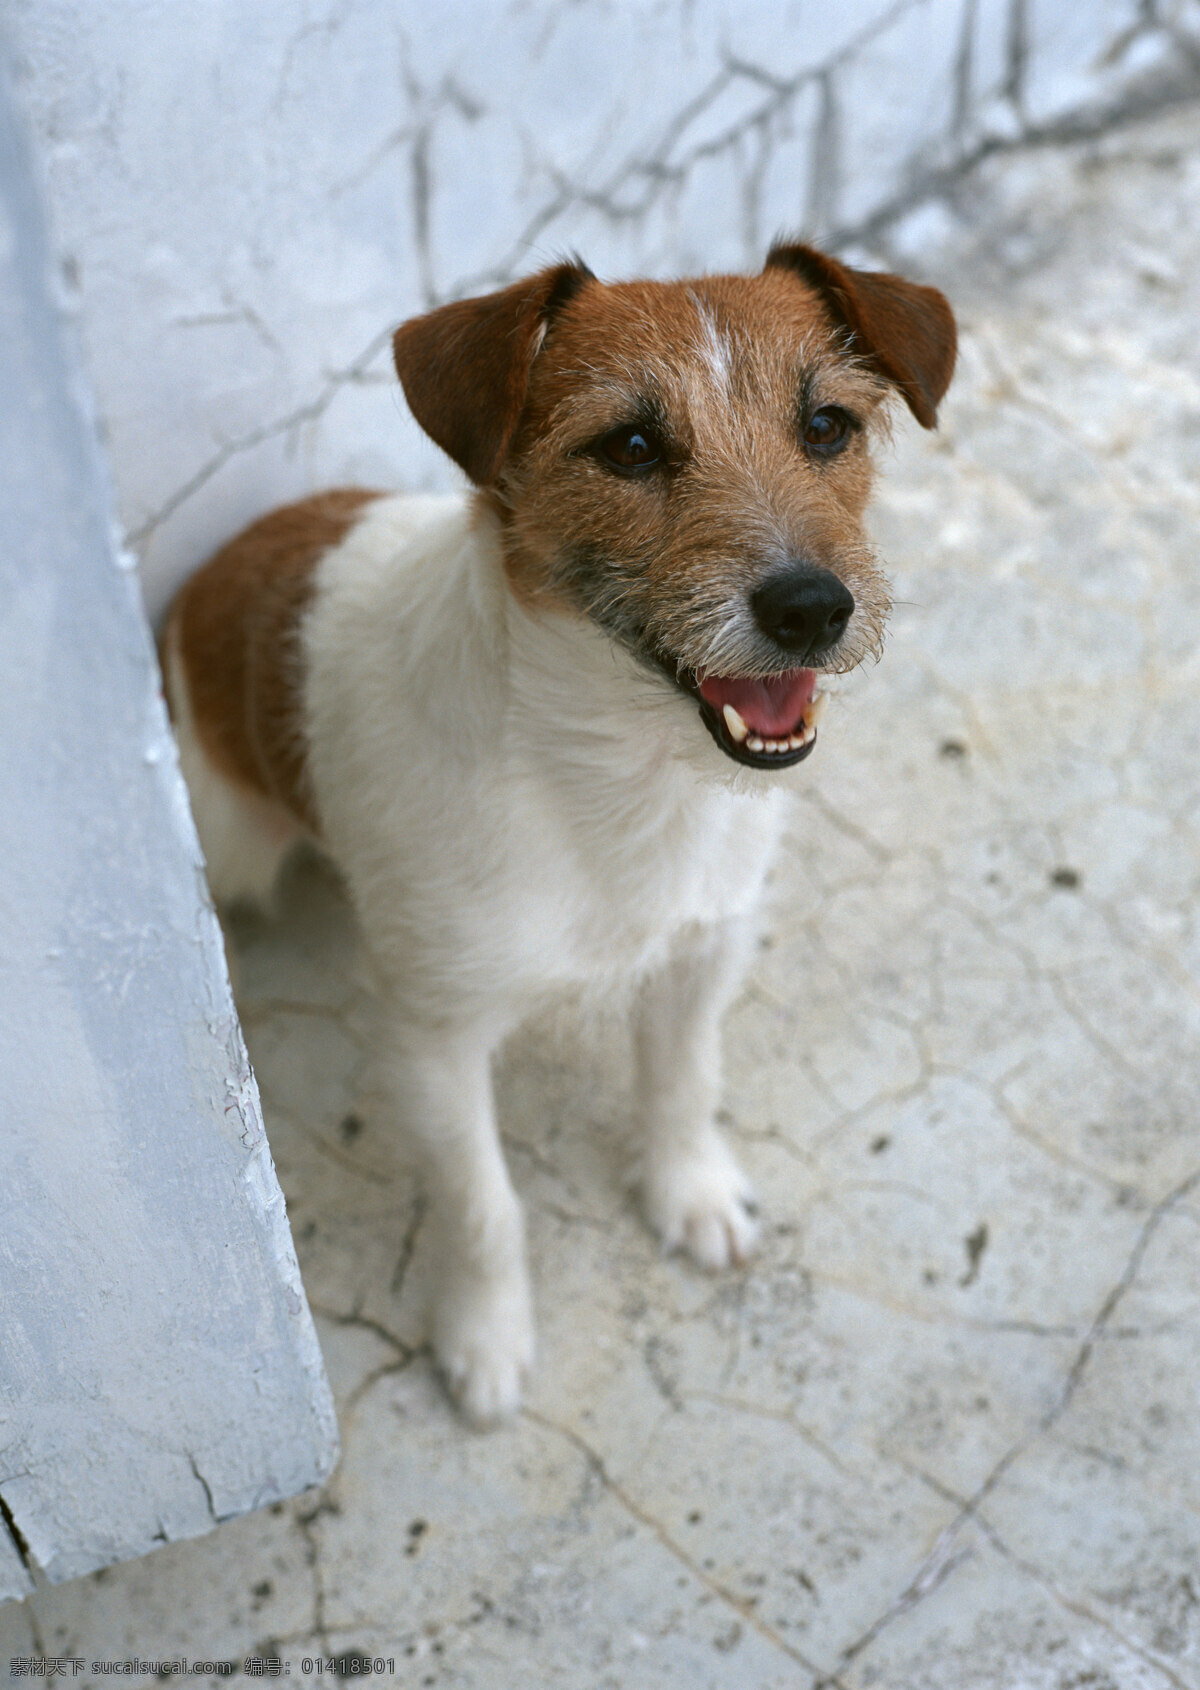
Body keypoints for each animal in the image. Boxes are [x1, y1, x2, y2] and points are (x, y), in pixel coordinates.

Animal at [164, 241, 960, 1426]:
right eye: (628, 446)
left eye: (826, 426)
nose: (813, 608)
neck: (611, 773)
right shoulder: (437, 1043)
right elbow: (483, 1208)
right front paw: (487, 1341)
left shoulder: (704, 947)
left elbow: (683, 1081)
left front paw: (690, 1193)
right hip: (229, 838)